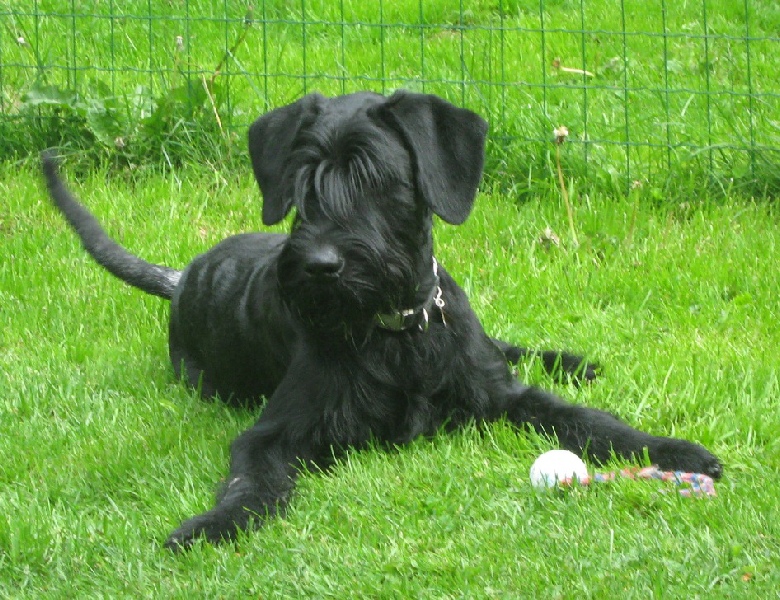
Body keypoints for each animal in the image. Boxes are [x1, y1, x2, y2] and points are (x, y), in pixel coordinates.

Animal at [41, 90, 722, 551]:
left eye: (377, 179)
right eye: (303, 185)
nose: (319, 264)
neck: (399, 332)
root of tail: (182, 278)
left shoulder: (502, 395)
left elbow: (590, 421)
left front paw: (678, 452)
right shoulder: (272, 435)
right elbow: (251, 482)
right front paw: (214, 524)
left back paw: (575, 361)